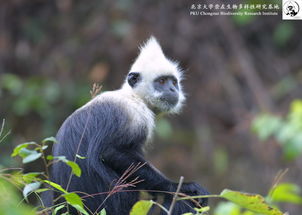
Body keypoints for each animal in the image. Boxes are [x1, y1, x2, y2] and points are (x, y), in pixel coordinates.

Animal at [44, 36, 209, 214]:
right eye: (162, 81)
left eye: (173, 82)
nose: (173, 89)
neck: (133, 95)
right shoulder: (137, 115)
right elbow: (110, 151)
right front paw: (180, 188)